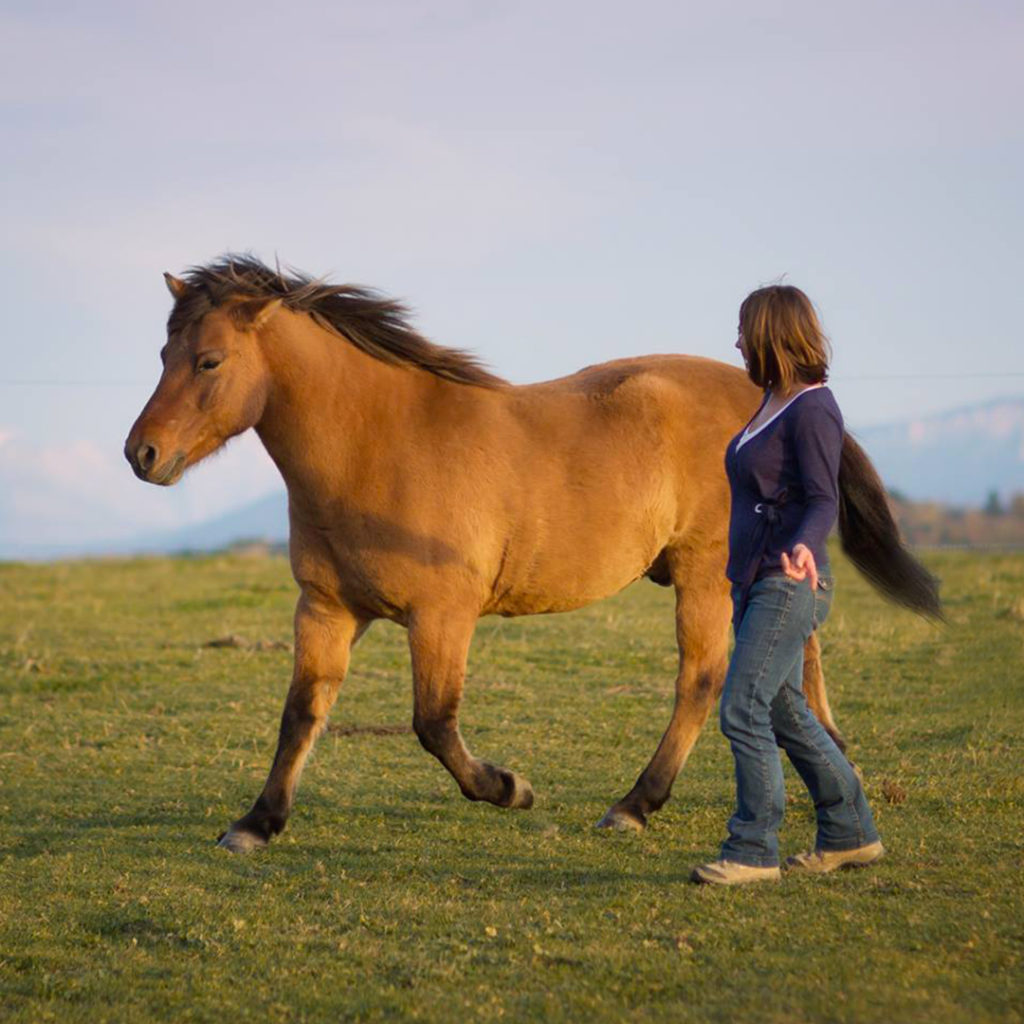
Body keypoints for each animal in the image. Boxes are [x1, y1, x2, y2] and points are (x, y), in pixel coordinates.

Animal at [123, 260, 937, 851]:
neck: (378, 445)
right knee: (798, 663)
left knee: (704, 679)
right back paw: (837, 771)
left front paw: (510, 788)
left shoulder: (442, 615)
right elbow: (301, 713)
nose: (142, 454)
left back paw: (635, 804)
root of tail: (772, 390)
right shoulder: (325, 609)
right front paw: (256, 823)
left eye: (208, 361)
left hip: (707, 573)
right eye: (163, 353)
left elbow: (434, 724)